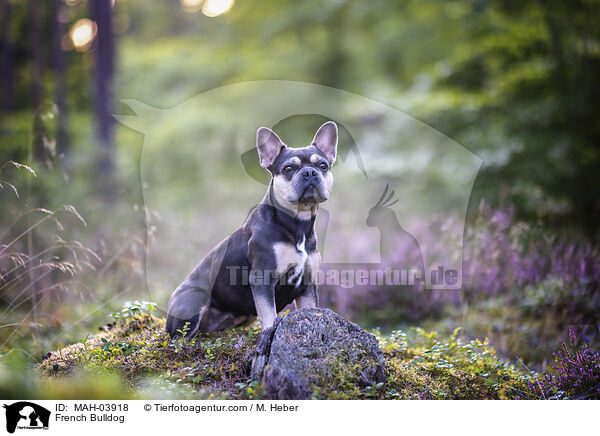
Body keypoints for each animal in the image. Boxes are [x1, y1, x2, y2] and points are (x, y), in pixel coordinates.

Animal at [165, 122, 338, 338]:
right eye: (288, 168)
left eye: (323, 166)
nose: (310, 172)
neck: (297, 223)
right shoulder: (262, 279)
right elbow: (270, 315)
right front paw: (269, 335)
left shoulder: (307, 286)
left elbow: (310, 309)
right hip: (193, 303)